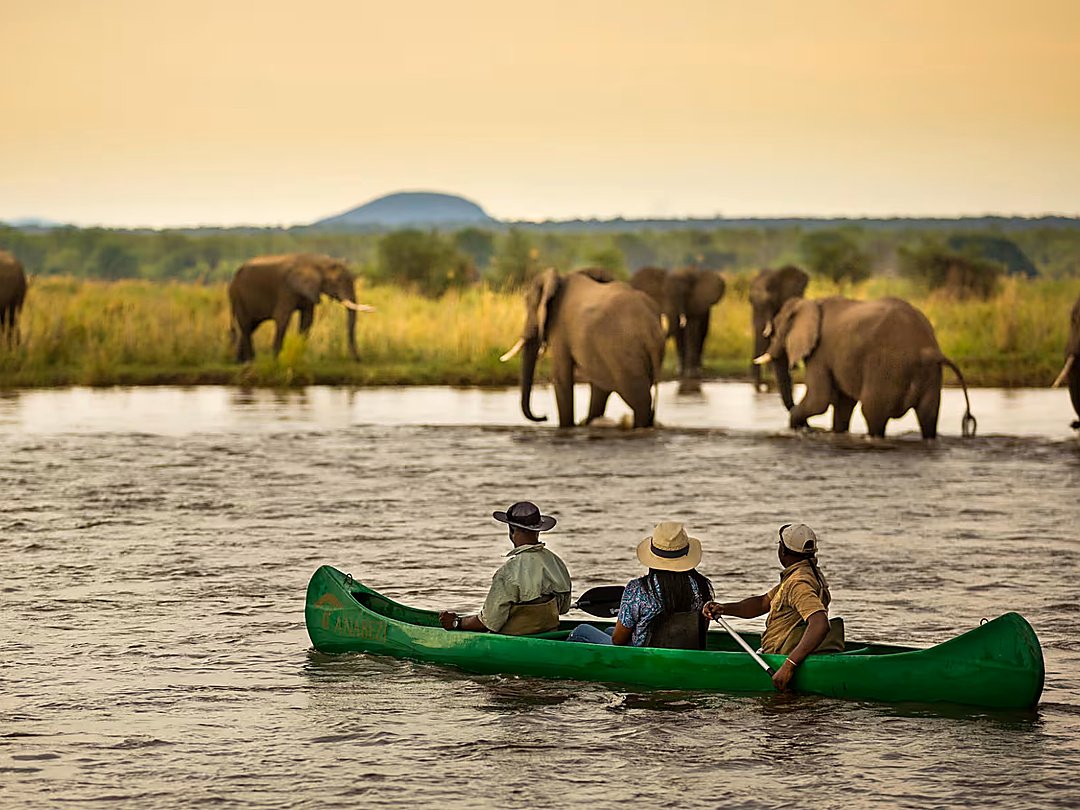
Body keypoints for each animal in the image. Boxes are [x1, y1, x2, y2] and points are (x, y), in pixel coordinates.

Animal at [228, 253, 372, 362]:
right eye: (338, 281)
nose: (358, 360)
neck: (318, 261)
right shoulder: (286, 289)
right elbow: (283, 318)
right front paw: (276, 360)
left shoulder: (309, 291)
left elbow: (307, 320)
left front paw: (299, 357)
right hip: (237, 296)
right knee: (246, 325)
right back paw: (249, 360)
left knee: (251, 326)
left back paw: (239, 361)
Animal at [500, 268, 665, 428]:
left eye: (528, 304)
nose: (544, 417)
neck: (559, 278)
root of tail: (651, 326)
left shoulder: (560, 328)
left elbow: (561, 376)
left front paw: (568, 427)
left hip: (625, 355)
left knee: (639, 400)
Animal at [754, 296, 976, 438]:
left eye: (774, 334)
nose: (809, 429)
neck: (810, 303)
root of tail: (929, 350)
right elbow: (843, 404)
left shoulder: (819, 354)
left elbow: (819, 401)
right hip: (929, 376)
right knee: (928, 417)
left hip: (887, 368)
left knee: (872, 413)